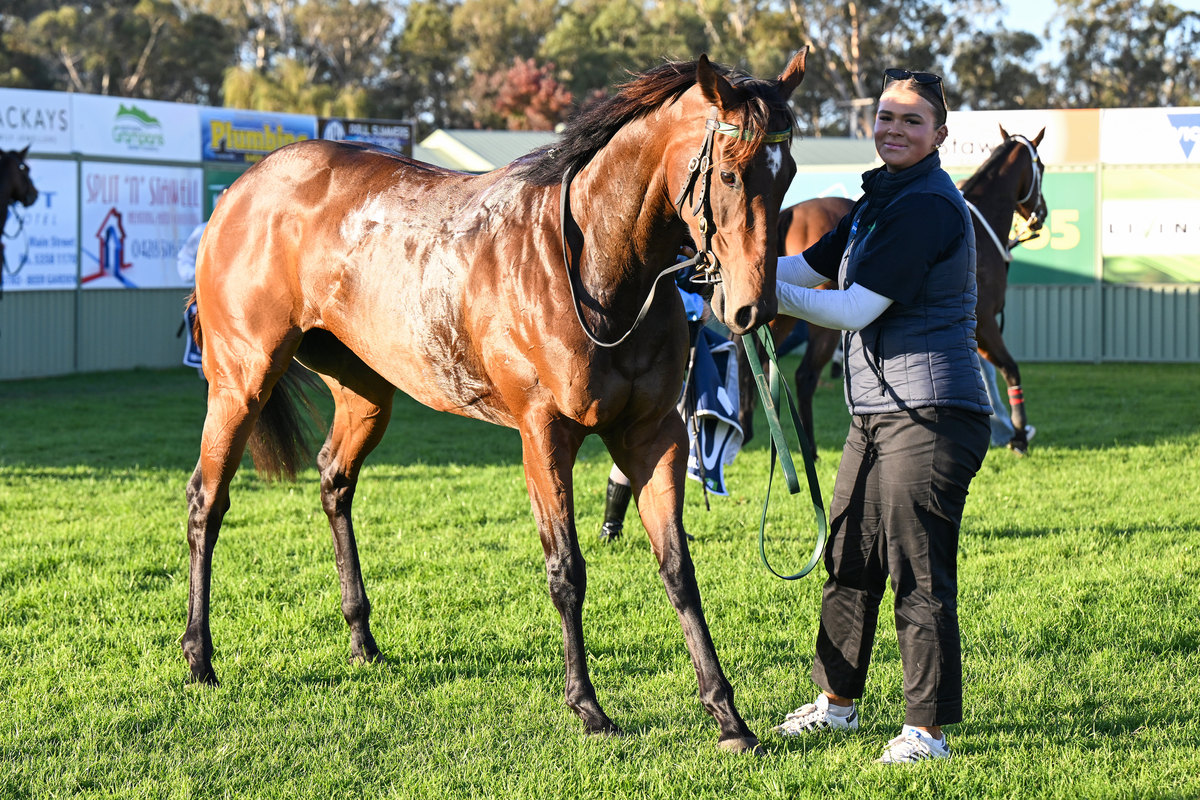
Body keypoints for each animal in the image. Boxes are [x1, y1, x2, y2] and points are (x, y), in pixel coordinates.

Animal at [183, 51, 807, 754]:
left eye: (786, 178)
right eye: (729, 172)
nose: (753, 309)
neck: (593, 268)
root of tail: (240, 189)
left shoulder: (653, 434)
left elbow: (678, 569)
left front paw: (728, 716)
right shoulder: (544, 433)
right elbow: (567, 570)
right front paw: (587, 706)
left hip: (367, 391)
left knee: (334, 482)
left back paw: (362, 639)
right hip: (241, 379)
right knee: (207, 500)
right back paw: (200, 656)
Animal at [743, 128, 1047, 455]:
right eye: (1041, 167)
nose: (1041, 213)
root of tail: (790, 212)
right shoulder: (986, 321)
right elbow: (1009, 368)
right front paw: (1019, 432)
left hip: (781, 316)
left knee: (756, 361)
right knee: (805, 375)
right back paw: (808, 446)